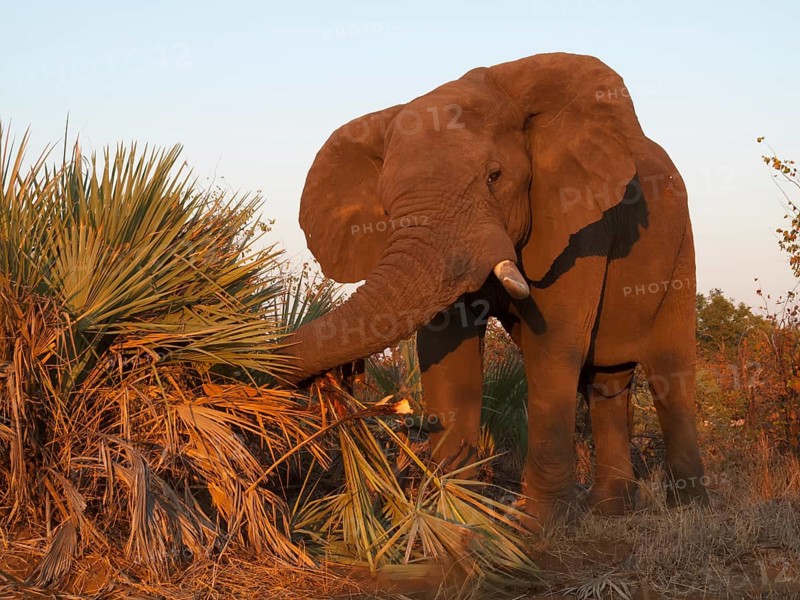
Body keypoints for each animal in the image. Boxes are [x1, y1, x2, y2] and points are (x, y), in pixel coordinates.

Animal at [287, 52, 709, 529]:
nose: (337, 378)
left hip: (680, 245)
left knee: (669, 376)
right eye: (387, 204)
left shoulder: (577, 216)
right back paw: (610, 512)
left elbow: (555, 343)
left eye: (494, 177)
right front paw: (457, 516)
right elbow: (445, 348)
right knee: (606, 383)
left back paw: (692, 511)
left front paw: (540, 526)